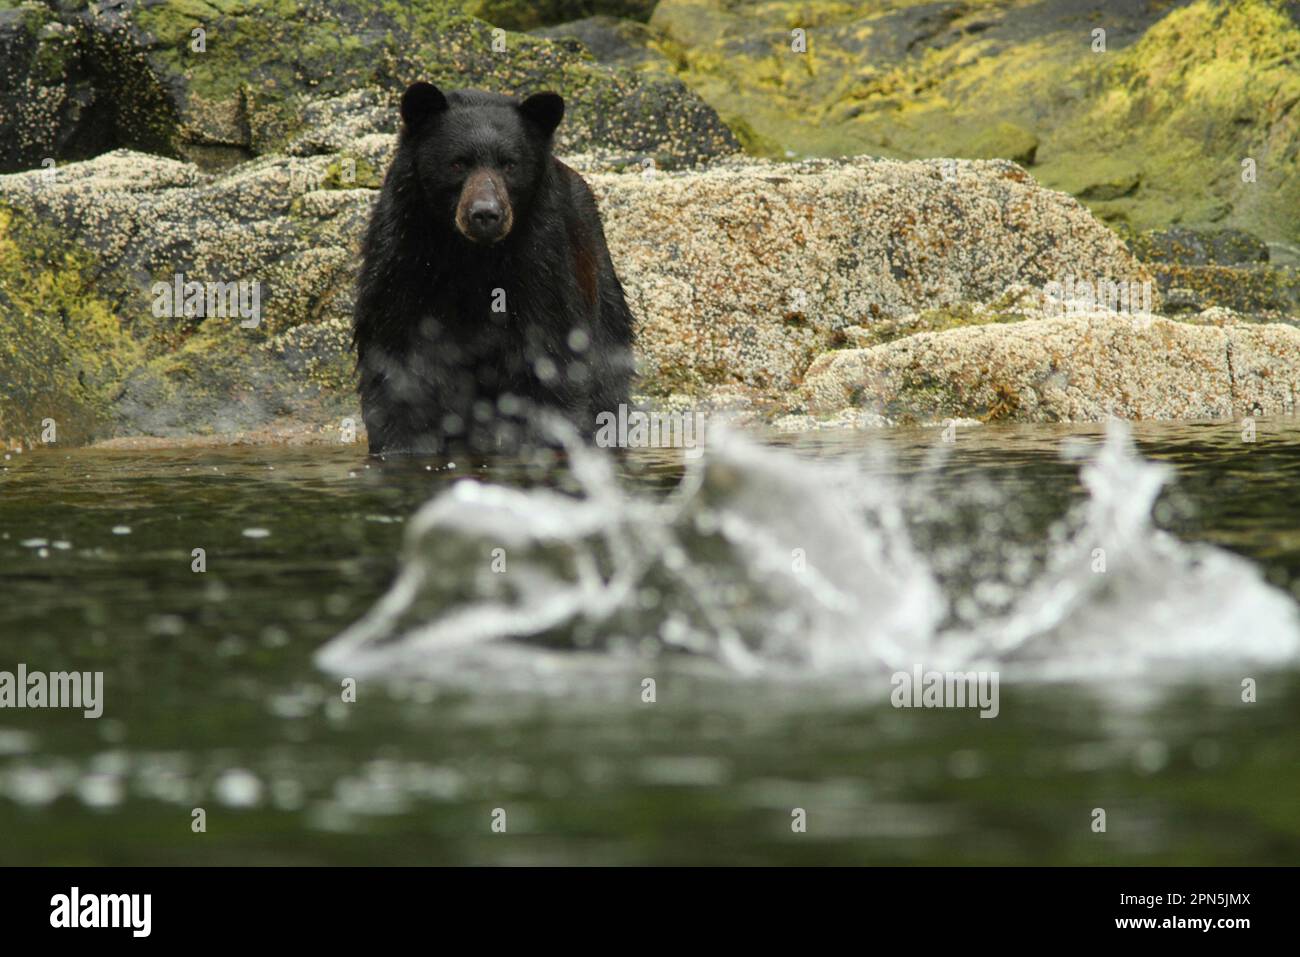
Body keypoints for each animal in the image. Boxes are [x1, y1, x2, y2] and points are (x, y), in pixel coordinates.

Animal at [353, 82, 637, 455]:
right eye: (458, 163)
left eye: (510, 165)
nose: (486, 214)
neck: (471, 254)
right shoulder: (403, 254)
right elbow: (399, 363)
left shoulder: (541, 262)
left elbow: (548, 362)